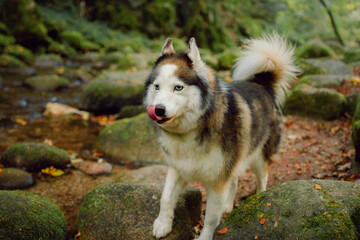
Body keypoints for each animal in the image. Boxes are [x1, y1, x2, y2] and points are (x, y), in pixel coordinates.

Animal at [143, 34, 298, 240]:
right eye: (157, 87)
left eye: (178, 87)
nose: (158, 109)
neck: (191, 130)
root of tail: (261, 84)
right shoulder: (178, 168)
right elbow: (166, 197)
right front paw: (162, 224)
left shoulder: (217, 182)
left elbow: (210, 218)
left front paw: (205, 237)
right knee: (235, 180)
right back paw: (228, 205)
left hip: (258, 157)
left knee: (262, 179)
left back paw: (259, 198)